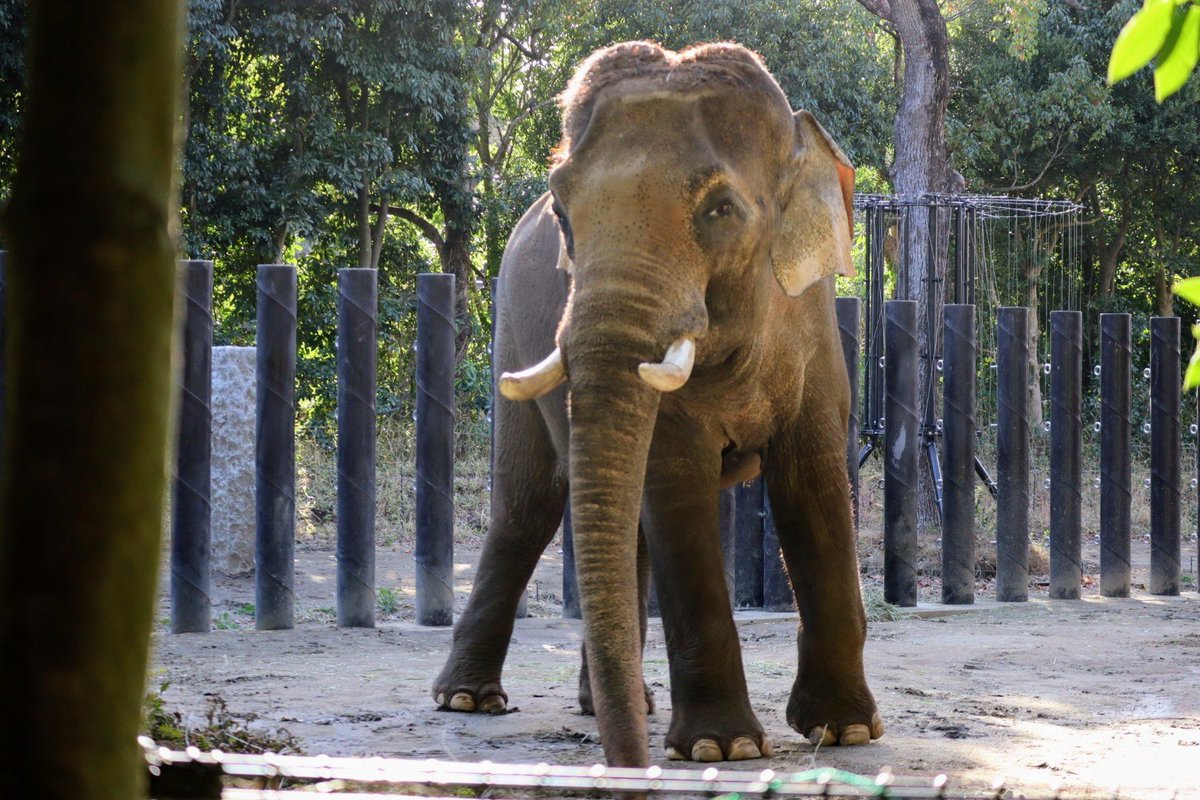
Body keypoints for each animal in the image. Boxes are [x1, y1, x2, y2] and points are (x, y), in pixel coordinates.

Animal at [432, 40, 883, 767]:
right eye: (565, 214)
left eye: (721, 210)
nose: (628, 767)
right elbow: (675, 487)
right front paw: (721, 747)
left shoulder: (813, 333)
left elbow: (812, 485)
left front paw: (845, 731)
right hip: (511, 322)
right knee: (529, 507)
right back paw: (469, 700)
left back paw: (615, 703)